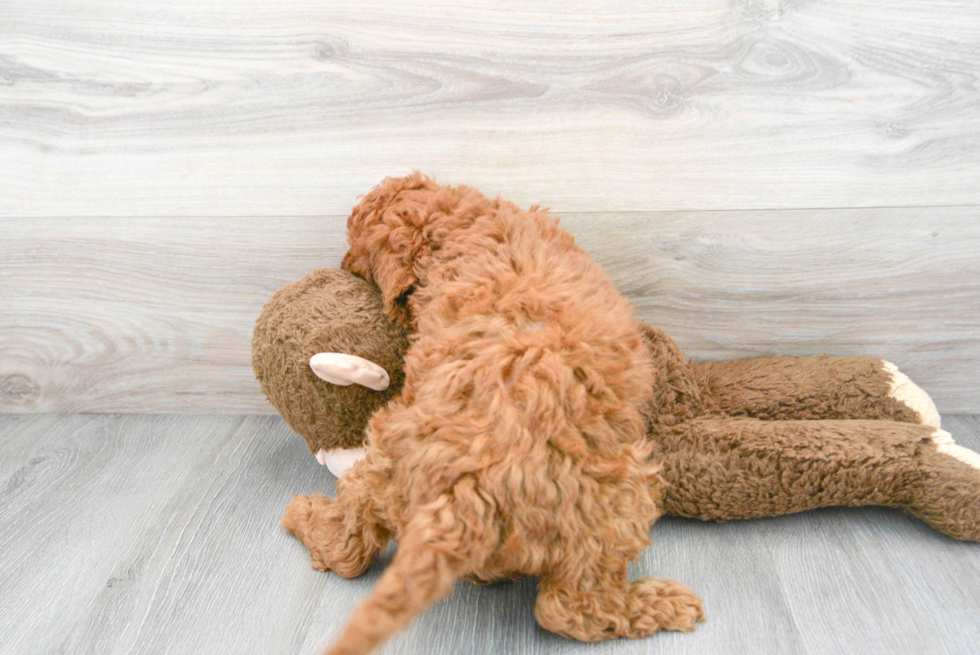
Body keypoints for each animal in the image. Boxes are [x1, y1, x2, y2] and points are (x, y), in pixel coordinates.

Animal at [280, 174, 700, 655]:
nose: (343, 264)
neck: (455, 229)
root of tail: (462, 492)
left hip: (381, 465)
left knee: (348, 547)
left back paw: (303, 515)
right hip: (621, 495)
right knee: (569, 610)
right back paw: (661, 603)